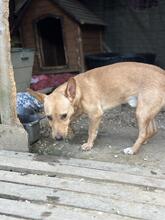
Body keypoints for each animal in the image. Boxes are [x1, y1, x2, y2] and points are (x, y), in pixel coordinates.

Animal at [27, 62, 165, 155]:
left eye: (63, 115)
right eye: (49, 117)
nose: (58, 138)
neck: (80, 89)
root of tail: (162, 73)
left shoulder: (95, 114)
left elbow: (91, 131)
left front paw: (88, 144)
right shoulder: (77, 111)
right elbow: (71, 122)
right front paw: (70, 131)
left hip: (141, 113)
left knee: (143, 132)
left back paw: (133, 149)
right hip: (144, 111)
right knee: (152, 130)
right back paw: (143, 142)